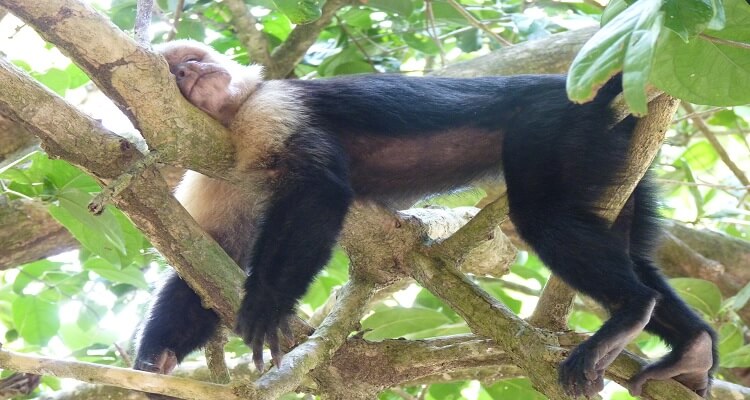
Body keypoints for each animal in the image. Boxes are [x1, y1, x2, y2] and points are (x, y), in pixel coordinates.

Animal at [137, 39, 724, 396]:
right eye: (175, 69)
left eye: (193, 56)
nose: (192, 70)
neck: (231, 118)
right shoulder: (212, 166)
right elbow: (208, 255)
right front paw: (155, 360)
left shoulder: (269, 108)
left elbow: (320, 190)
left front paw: (264, 305)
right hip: (617, 154)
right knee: (629, 247)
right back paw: (691, 348)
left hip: (558, 126)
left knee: (544, 218)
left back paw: (630, 312)